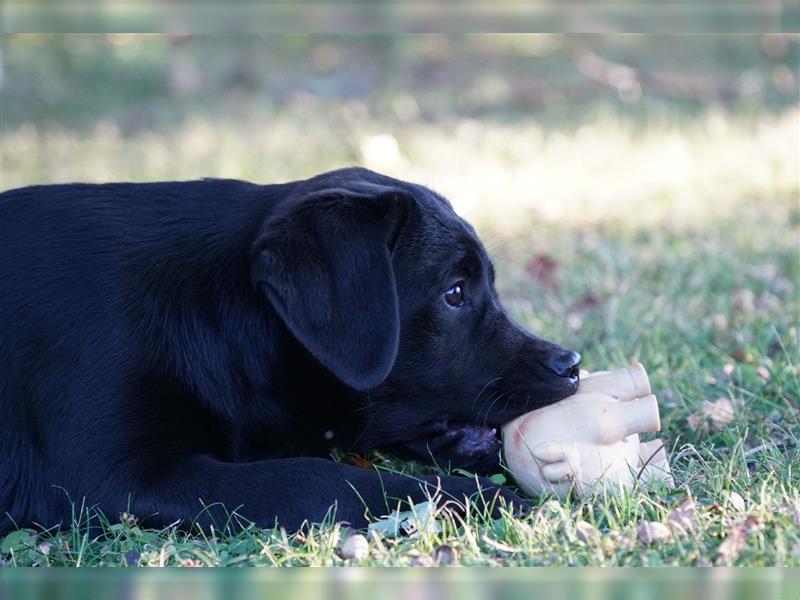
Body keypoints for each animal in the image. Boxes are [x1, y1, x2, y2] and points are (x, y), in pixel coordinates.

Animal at [0, 166, 580, 532]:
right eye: (455, 293)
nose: (572, 365)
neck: (210, 312)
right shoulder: (112, 477)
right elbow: (318, 477)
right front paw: (479, 499)